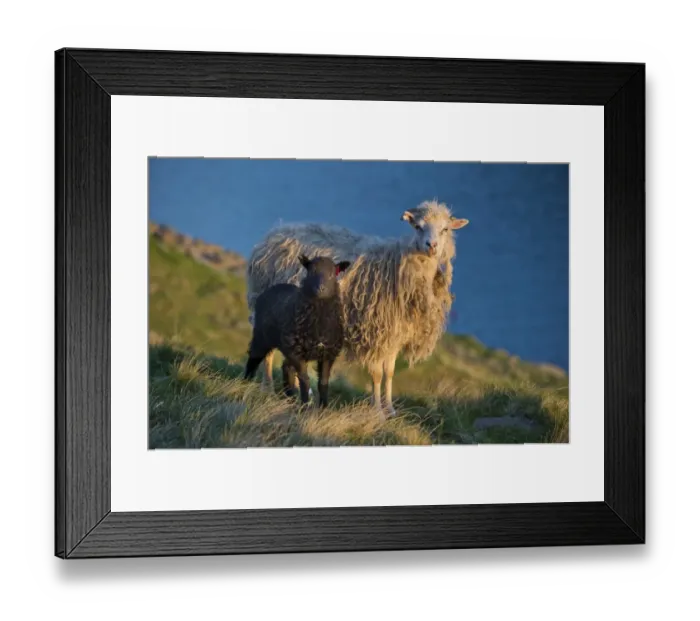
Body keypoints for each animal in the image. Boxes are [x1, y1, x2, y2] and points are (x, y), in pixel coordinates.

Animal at [244, 254, 351, 407]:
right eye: (311, 272)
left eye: (332, 274)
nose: (320, 288)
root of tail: (274, 287)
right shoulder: (296, 352)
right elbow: (305, 379)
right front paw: (306, 405)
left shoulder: (328, 353)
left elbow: (323, 382)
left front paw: (323, 407)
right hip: (263, 337)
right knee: (254, 356)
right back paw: (246, 382)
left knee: (286, 367)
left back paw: (290, 396)